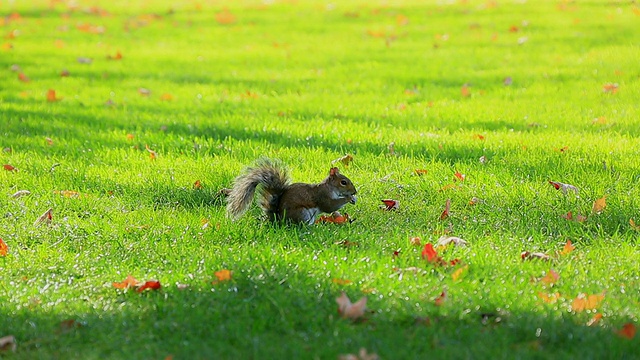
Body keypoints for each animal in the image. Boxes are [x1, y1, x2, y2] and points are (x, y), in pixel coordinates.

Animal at [225, 159, 358, 224]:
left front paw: (353, 199)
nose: (355, 192)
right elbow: (330, 206)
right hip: (302, 213)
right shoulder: (323, 196)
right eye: (343, 182)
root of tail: (279, 220)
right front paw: (348, 198)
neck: (330, 188)